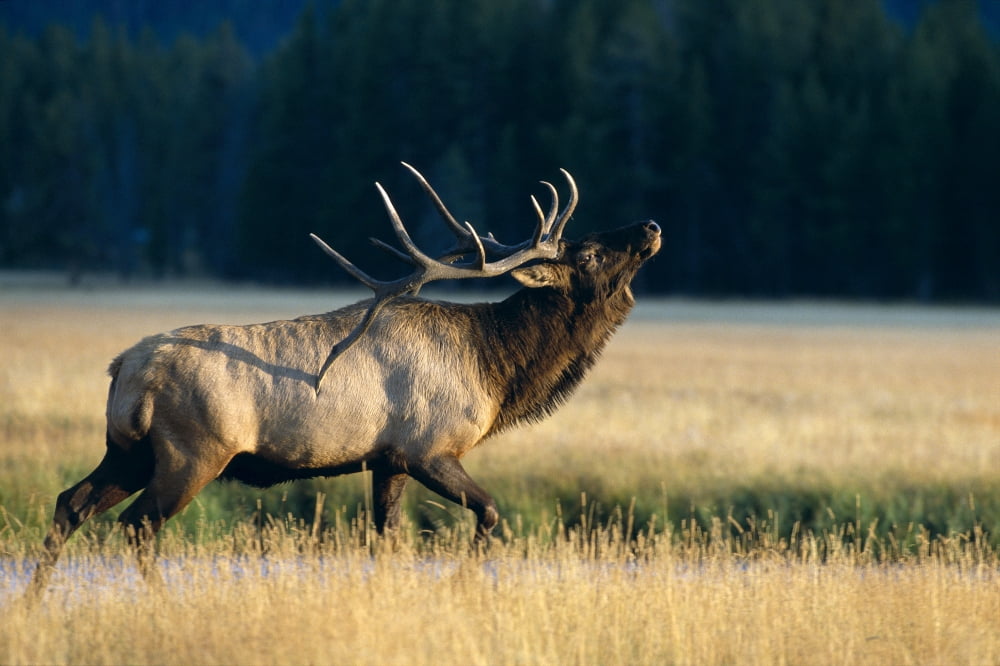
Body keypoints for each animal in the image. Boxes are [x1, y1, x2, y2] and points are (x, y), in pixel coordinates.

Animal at [26, 163, 661, 597]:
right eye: (589, 255)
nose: (652, 225)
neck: (496, 366)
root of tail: (124, 370)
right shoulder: (429, 448)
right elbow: (488, 512)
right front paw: (460, 585)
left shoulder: (388, 459)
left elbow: (387, 540)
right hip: (192, 452)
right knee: (137, 525)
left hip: (127, 450)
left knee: (71, 503)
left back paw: (34, 600)